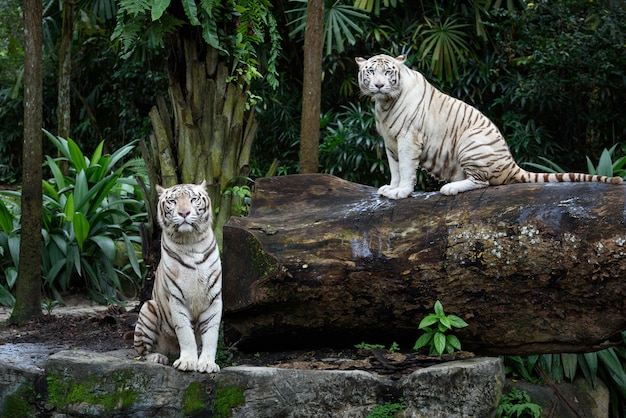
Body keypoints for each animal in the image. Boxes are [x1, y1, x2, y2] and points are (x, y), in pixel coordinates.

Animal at [132, 180, 222, 372]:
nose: (184, 213)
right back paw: (158, 357)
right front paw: (187, 361)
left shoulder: (214, 299)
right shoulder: (177, 299)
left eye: (193, 199)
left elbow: (211, 335)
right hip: (148, 307)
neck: (191, 241)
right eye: (173, 201)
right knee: (142, 352)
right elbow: (185, 333)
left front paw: (207, 364)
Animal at [354, 54, 620, 199]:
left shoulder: (409, 138)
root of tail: (511, 164)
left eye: (387, 72)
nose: (379, 85)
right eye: (371, 72)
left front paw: (402, 192)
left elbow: (407, 168)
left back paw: (450, 188)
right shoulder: (390, 142)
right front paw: (391, 188)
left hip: (470, 142)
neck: (384, 104)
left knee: (483, 182)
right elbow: (395, 168)